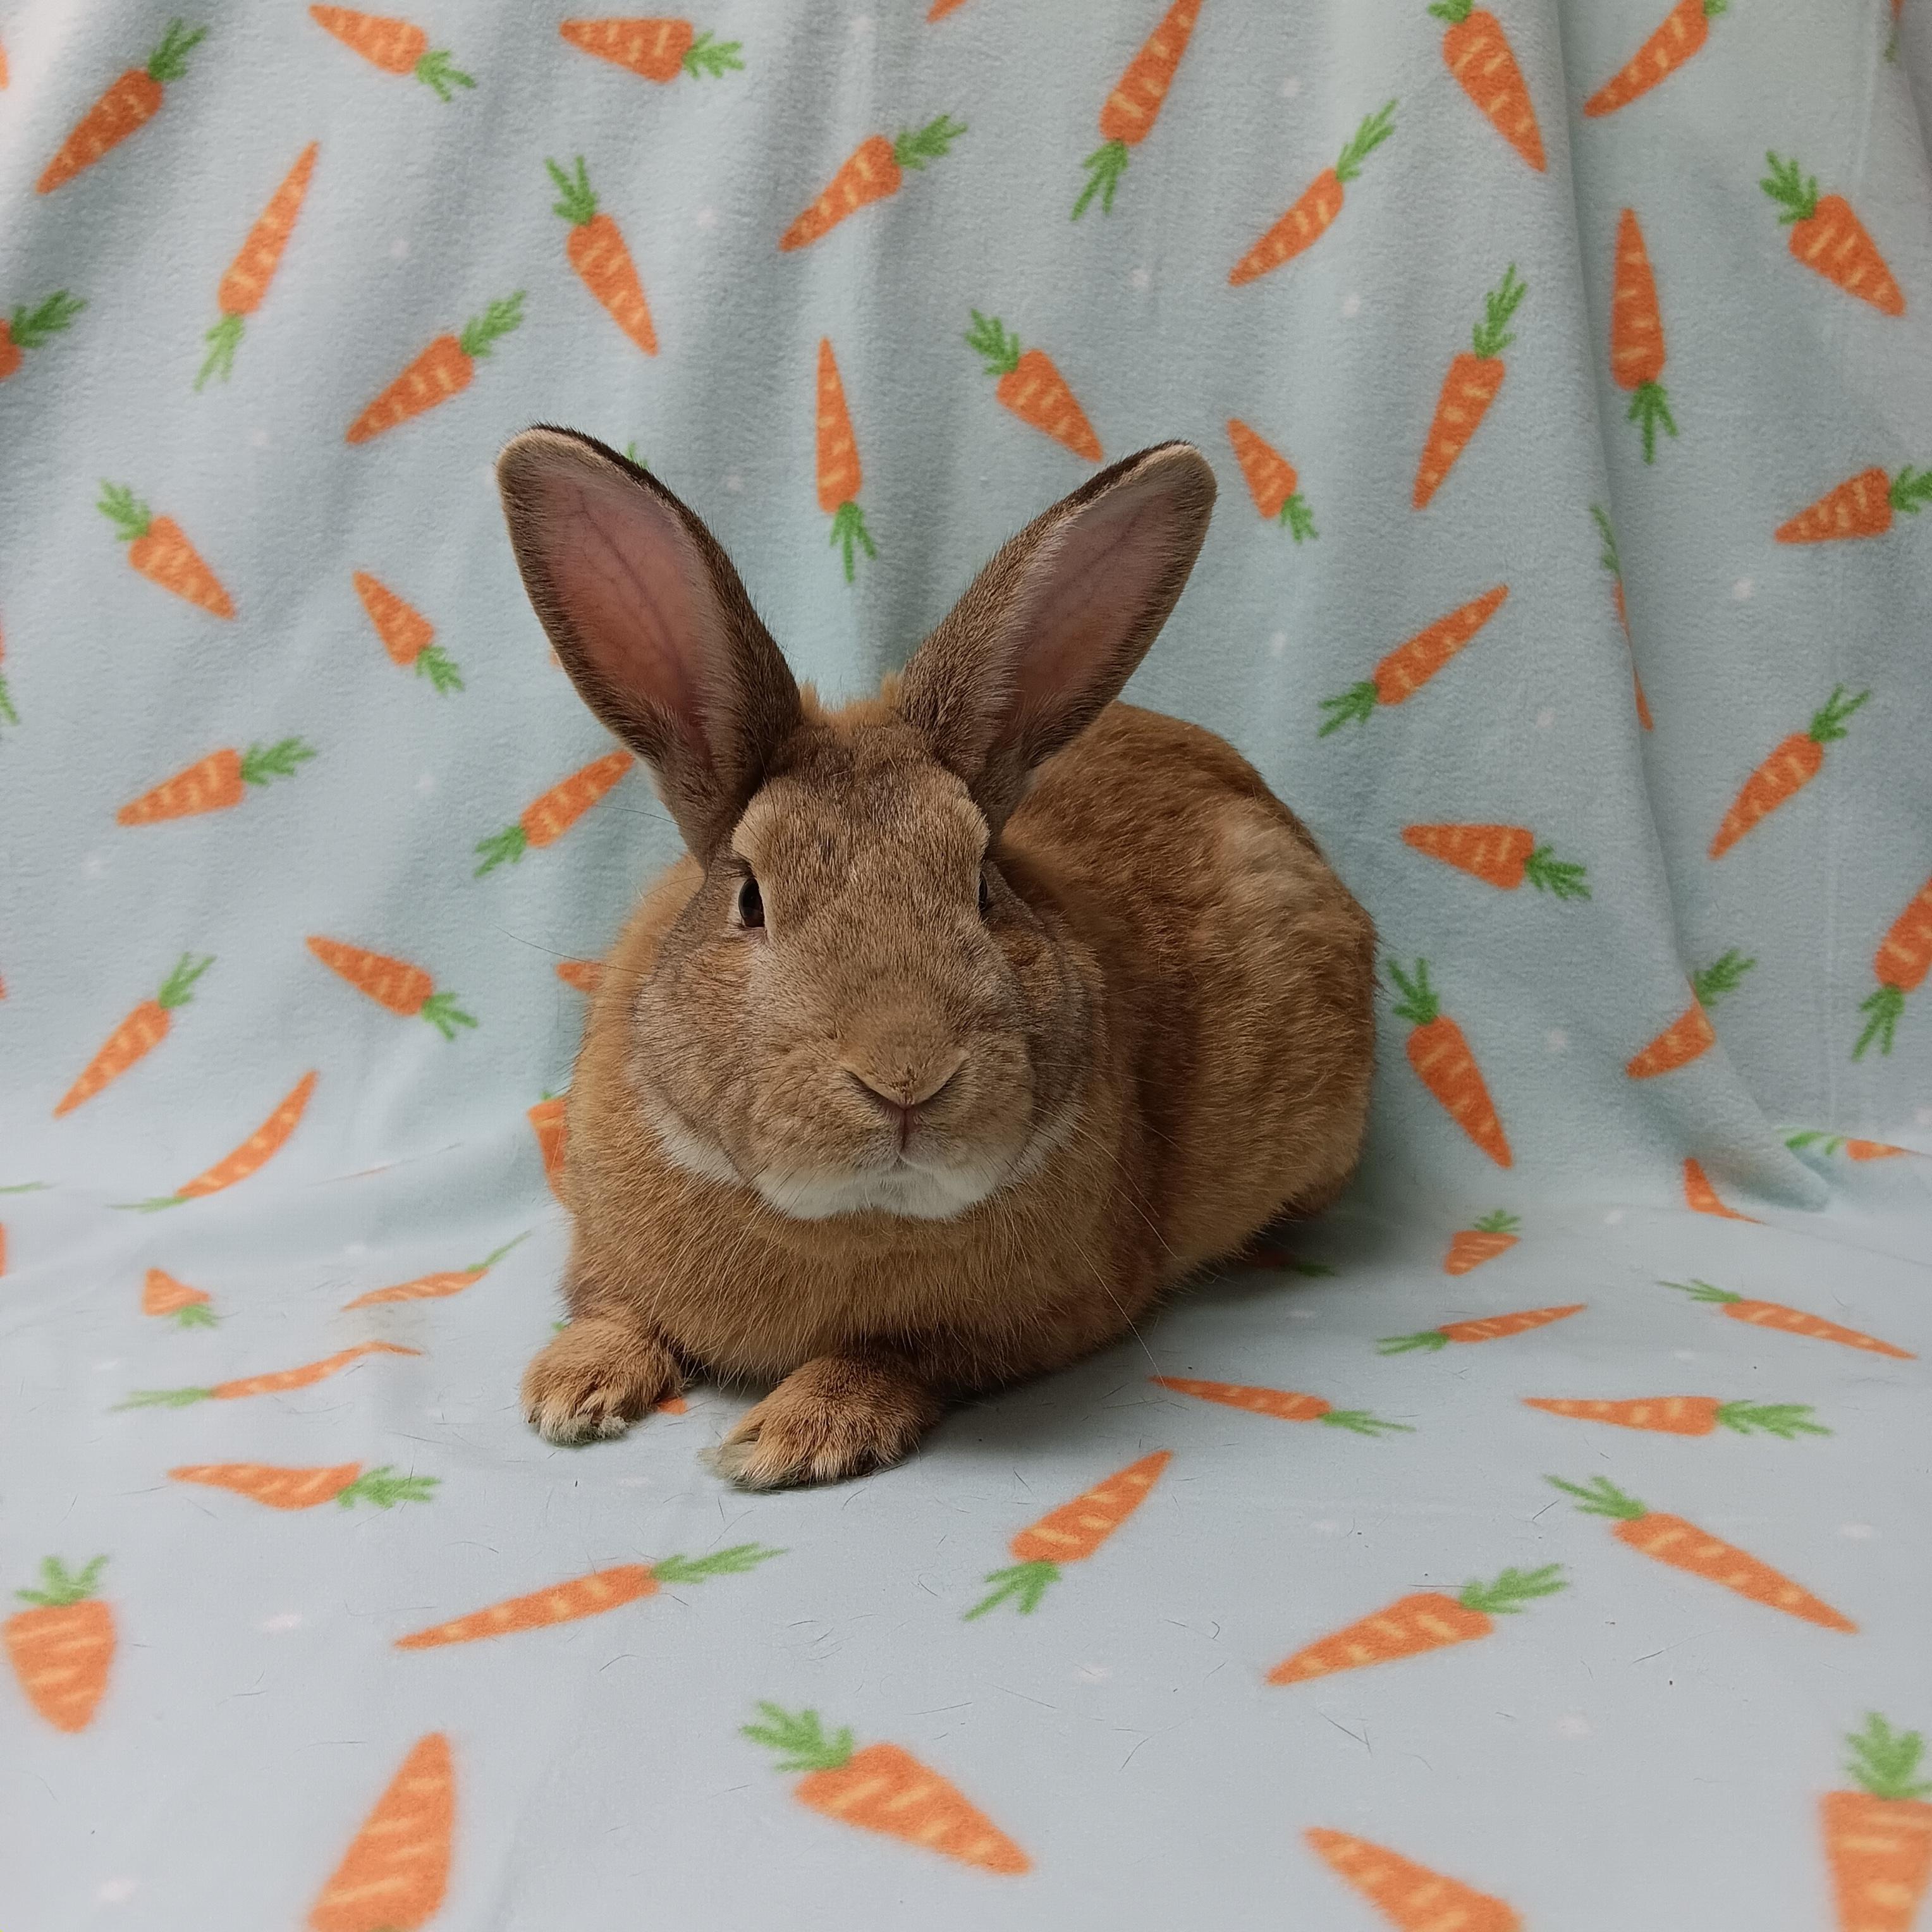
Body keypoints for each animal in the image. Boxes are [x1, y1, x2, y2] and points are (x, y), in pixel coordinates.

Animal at [495, 428, 1376, 1489]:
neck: (848, 1215)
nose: (907, 1077)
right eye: (750, 899)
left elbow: (893, 1357)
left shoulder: (1026, 1322)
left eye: (984, 888)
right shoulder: (605, 1253)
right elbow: (609, 1309)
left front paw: (792, 1436)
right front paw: (568, 1391)